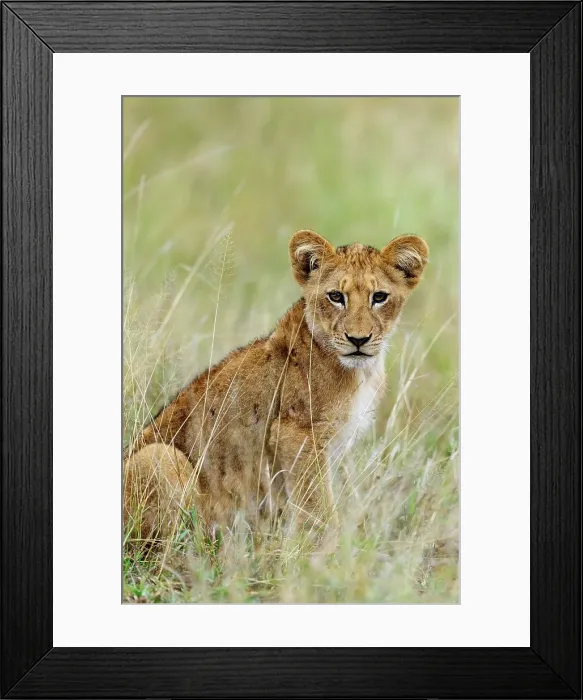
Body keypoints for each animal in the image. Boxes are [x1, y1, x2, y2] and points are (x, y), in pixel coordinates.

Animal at [124, 230, 428, 546]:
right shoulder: (295, 434)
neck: (360, 371)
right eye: (335, 296)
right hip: (157, 457)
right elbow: (317, 505)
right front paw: (326, 552)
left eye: (379, 297)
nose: (358, 339)